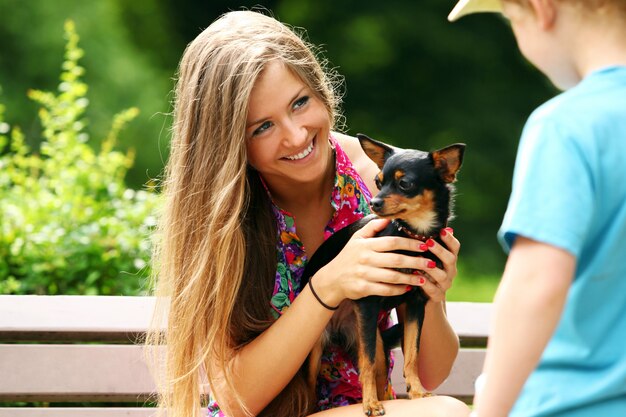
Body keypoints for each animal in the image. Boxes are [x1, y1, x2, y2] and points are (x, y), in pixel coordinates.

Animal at [302, 135, 464, 414]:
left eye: (404, 183)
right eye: (378, 182)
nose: (375, 203)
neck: (413, 234)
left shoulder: (415, 304)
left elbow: (412, 354)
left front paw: (417, 392)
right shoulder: (368, 303)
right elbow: (365, 365)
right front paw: (369, 404)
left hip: (374, 343)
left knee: (377, 370)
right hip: (317, 347)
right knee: (313, 386)